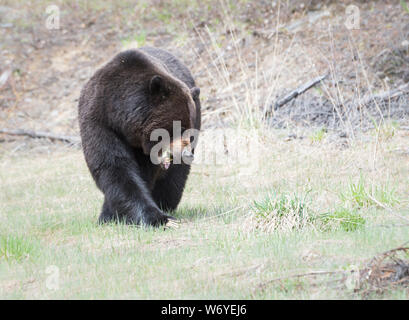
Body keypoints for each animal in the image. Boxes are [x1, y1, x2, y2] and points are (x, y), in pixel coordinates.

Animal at [77, 48, 200, 228]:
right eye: (180, 127)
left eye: (189, 132)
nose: (187, 154)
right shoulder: (100, 121)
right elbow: (113, 166)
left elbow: (141, 173)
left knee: (175, 177)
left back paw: (165, 202)